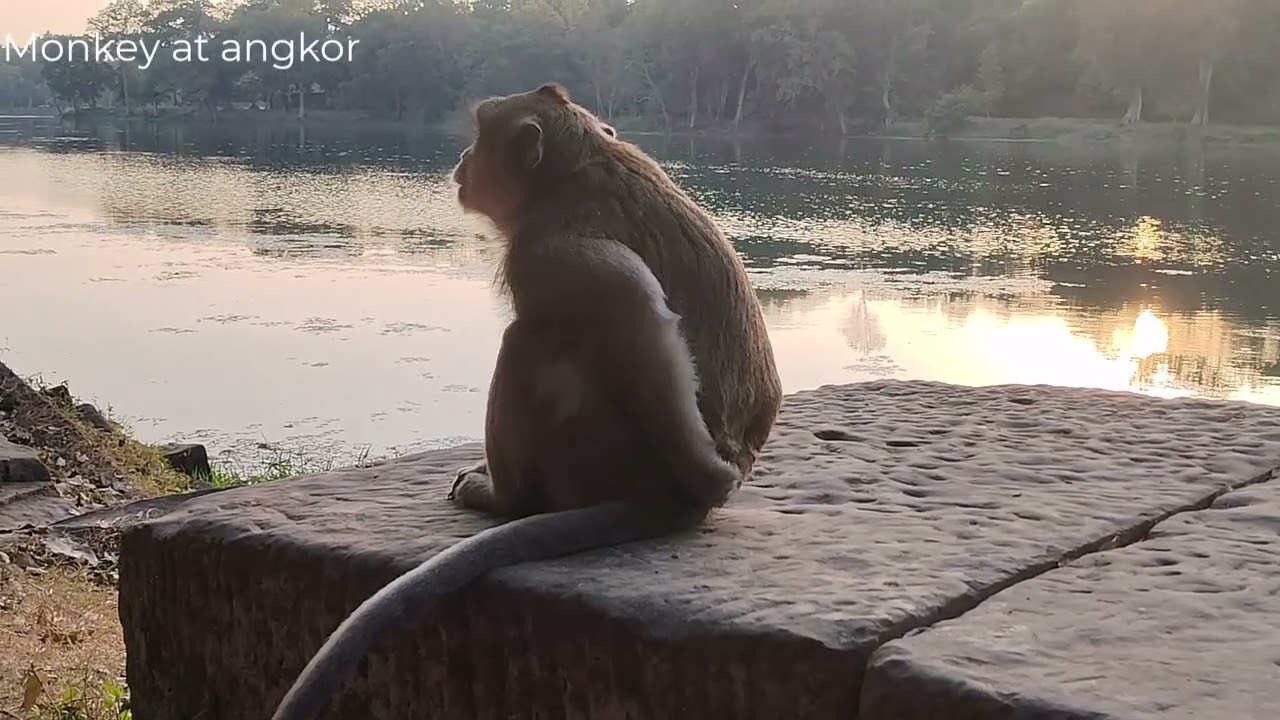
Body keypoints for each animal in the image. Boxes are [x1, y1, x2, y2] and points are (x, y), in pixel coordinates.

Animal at [269, 83, 783, 720]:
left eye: (480, 135)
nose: (462, 160)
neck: (572, 172)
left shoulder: (547, 251)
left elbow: (632, 301)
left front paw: (709, 477)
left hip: (594, 451)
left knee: (528, 341)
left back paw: (507, 496)